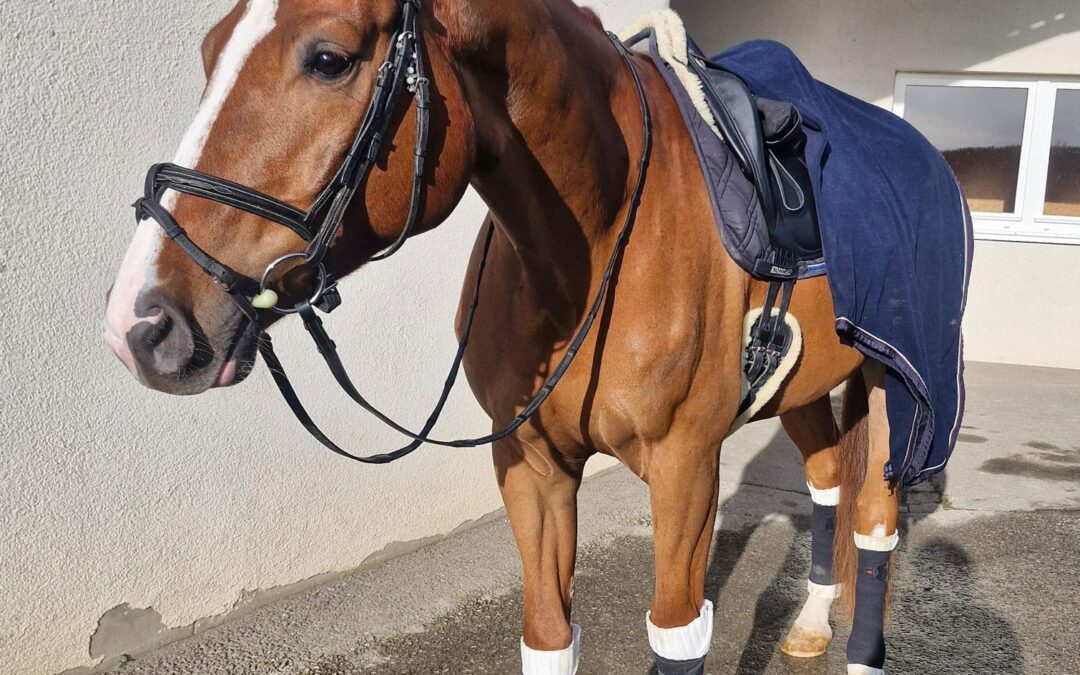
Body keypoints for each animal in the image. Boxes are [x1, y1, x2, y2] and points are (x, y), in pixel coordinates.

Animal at [103, 1, 904, 673]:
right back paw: (810, 626)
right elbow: (548, 635)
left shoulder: (687, 469)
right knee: (828, 481)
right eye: (209, 51)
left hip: (895, 389)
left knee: (874, 520)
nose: (138, 323)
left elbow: (677, 634)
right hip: (803, 389)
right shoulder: (533, 467)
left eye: (329, 59)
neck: (604, 238)